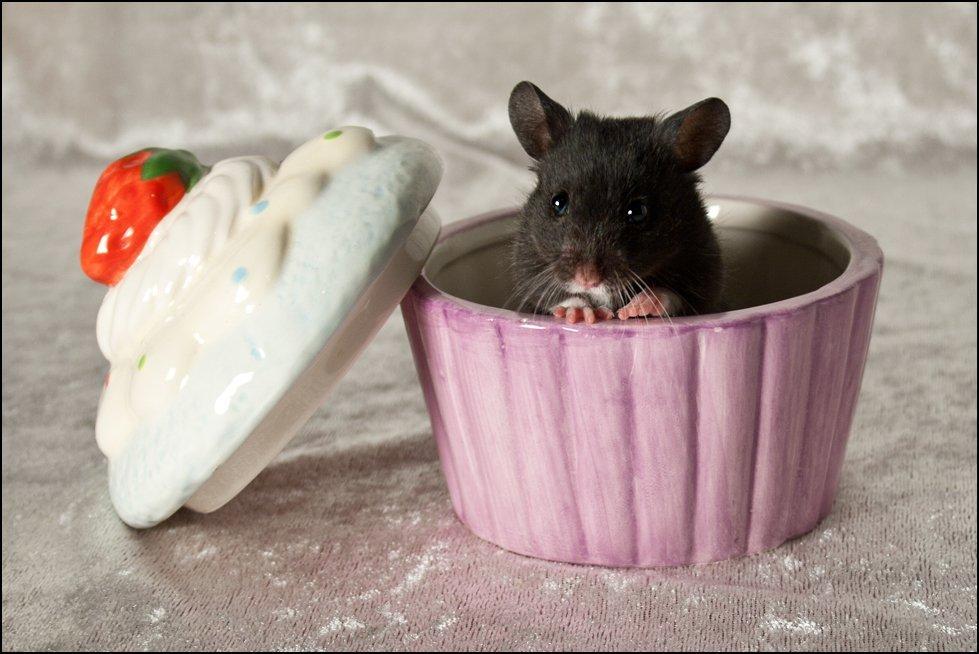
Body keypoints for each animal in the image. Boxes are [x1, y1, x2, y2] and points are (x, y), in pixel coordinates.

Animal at [507, 81, 730, 324]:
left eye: (638, 211)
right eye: (558, 203)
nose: (587, 278)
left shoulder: (706, 265)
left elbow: (676, 294)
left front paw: (641, 305)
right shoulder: (526, 261)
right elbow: (548, 291)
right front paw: (581, 313)